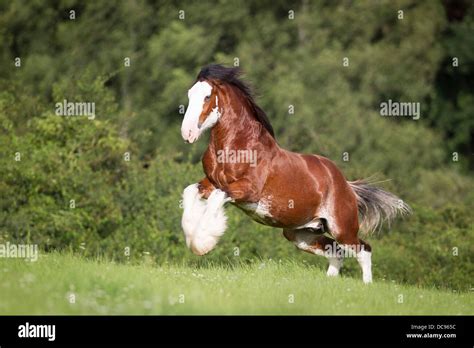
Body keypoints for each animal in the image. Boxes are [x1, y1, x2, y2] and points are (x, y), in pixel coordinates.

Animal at [180, 64, 410, 284]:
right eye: (189, 94)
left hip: (342, 229)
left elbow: (217, 198)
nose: (187, 133)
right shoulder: (211, 182)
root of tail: (346, 185)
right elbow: (190, 191)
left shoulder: (247, 190)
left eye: (207, 96)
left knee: (363, 250)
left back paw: (366, 285)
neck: (237, 147)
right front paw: (192, 238)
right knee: (336, 252)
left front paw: (204, 243)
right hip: (302, 234)